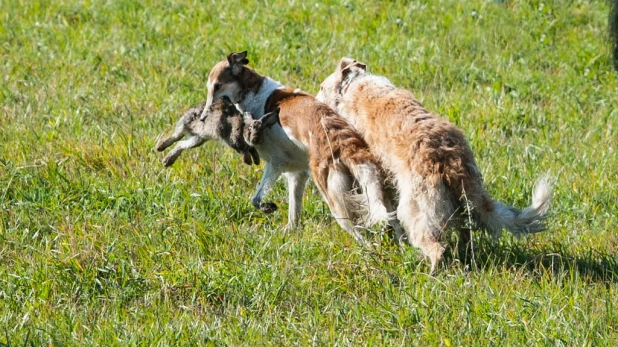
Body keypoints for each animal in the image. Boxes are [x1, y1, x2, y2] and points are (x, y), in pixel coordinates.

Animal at [200, 51, 402, 242]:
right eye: (209, 88)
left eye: (217, 86)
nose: (202, 119)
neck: (254, 92)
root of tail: (345, 146)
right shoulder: (297, 174)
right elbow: (293, 215)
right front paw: (288, 233)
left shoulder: (276, 163)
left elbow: (256, 199)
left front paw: (268, 207)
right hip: (375, 192)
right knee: (394, 222)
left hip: (336, 202)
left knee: (362, 237)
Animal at [316, 58, 552, 274]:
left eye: (321, 87)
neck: (355, 85)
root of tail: (452, 162)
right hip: (460, 205)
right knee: (465, 235)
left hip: (416, 210)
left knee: (435, 247)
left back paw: (429, 273)